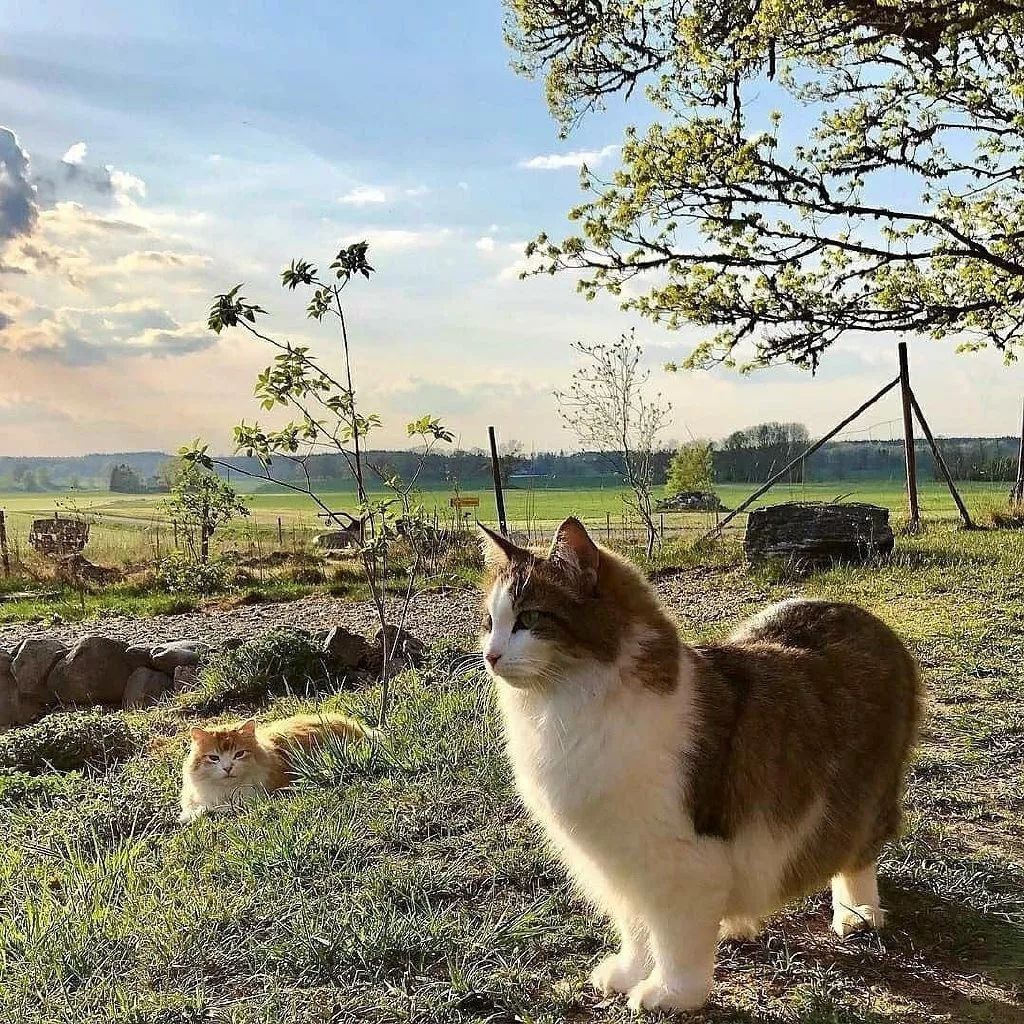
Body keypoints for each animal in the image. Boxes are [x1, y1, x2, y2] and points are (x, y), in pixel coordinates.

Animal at [479, 516, 921, 1011]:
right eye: (490, 622)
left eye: (529, 619)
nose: (490, 655)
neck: (567, 705)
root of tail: (858, 613)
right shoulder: (620, 860)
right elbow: (636, 928)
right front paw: (631, 972)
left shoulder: (680, 860)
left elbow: (675, 940)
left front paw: (672, 992)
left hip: (862, 798)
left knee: (858, 856)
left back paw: (856, 912)